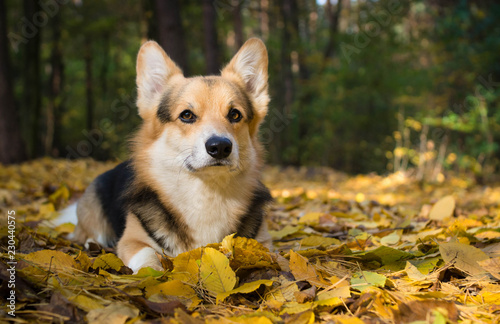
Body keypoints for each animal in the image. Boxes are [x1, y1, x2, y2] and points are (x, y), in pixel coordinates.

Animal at [65, 37, 274, 270]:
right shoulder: (132, 241)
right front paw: (154, 273)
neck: (207, 191)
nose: (220, 147)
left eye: (235, 115)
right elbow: (148, 258)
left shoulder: (263, 242)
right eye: (187, 115)